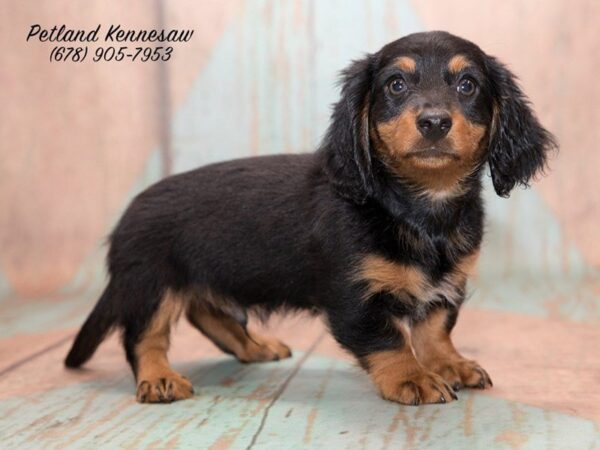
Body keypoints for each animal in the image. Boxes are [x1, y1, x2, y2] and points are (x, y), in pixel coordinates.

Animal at [63, 30, 556, 404]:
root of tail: (125, 218)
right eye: (396, 85)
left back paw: (255, 346)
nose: (434, 122)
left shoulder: (446, 287)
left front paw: (448, 364)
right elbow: (390, 339)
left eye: (467, 85)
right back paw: (159, 377)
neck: (418, 208)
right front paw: (412, 377)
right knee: (143, 337)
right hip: (151, 284)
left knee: (208, 313)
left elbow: (434, 331)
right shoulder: (353, 296)